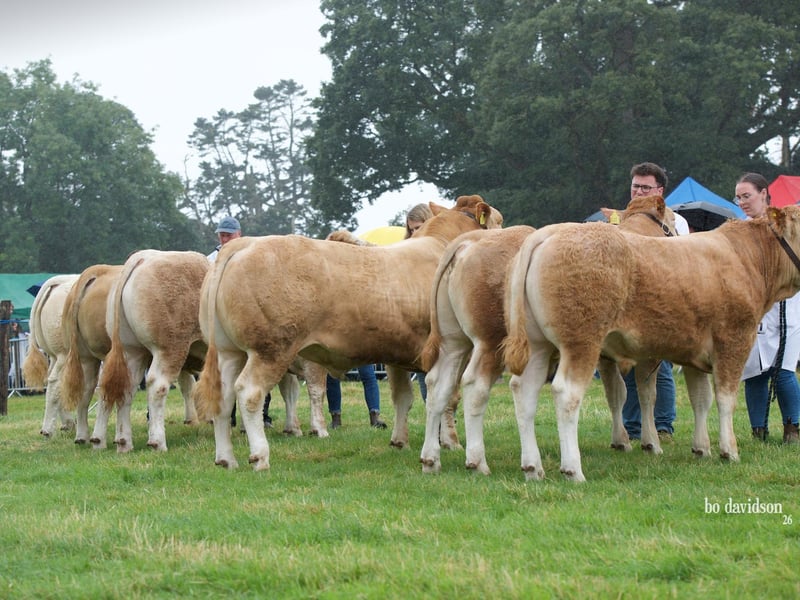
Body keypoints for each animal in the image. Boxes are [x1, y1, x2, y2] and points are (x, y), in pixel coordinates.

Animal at [22, 274, 80, 437]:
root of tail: (60, 281)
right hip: (66, 353)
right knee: (56, 382)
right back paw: (48, 429)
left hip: (54, 355)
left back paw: (68, 423)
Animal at [193, 195, 503, 470]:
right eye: (499, 221)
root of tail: (244, 244)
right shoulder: (455, 347)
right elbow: (450, 397)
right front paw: (451, 442)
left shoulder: (397, 353)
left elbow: (403, 397)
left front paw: (399, 441)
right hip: (270, 349)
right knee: (249, 394)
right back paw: (259, 457)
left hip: (229, 352)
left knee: (223, 398)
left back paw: (226, 458)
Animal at [419, 195, 676, 475]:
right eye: (673, 222)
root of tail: (467, 242)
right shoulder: (646, 351)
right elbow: (647, 394)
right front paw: (651, 443)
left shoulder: (605, 354)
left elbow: (617, 393)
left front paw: (621, 440)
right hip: (490, 341)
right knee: (475, 387)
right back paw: (478, 462)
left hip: (453, 342)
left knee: (438, 386)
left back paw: (431, 458)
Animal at [503, 205, 800, 482]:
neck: (747, 257)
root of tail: (550, 231)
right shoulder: (734, 341)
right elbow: (726, 399)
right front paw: (729, 450)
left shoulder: (694, 354)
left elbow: (700, 399)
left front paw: (702, 448)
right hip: (581, 343)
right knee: (566, 393)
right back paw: (573, 470)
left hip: (538, 346)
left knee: (524, 391)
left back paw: (533, 468)